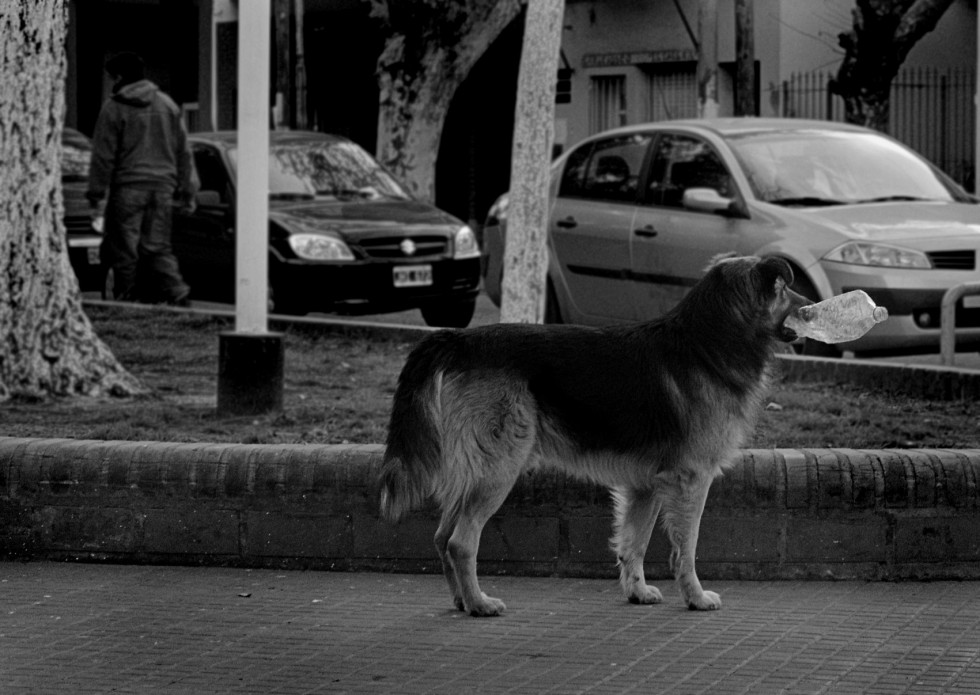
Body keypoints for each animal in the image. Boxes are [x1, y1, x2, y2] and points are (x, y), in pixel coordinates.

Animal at [378, 254, 808, 616]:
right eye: (784, 288)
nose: (808, 306)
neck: (710, 342)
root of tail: (460, 339)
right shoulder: (692, 480)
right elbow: (686, 548)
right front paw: (696, 597)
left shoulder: (646, 485)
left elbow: (633, 543)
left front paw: (637, 591)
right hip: (498, 468)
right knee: (459, 542)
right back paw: (480, 604)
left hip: (478, 469)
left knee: (441, 536)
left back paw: (461, 601)